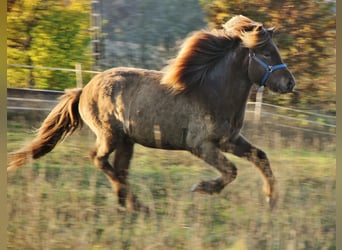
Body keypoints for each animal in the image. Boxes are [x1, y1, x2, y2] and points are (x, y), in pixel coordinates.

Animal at [8, 14, 296, 212]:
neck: (213, 92)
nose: (289, 83)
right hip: (110, 135)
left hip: (127, 141)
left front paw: (271, 200)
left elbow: (260, 157)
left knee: (119, 169)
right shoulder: (201, 145)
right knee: (99, 159)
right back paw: (135, 203)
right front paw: (201, 188)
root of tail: (84, 88)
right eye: (267, 53)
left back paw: (130, 204)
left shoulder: (230, 140)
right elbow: (231, 171)